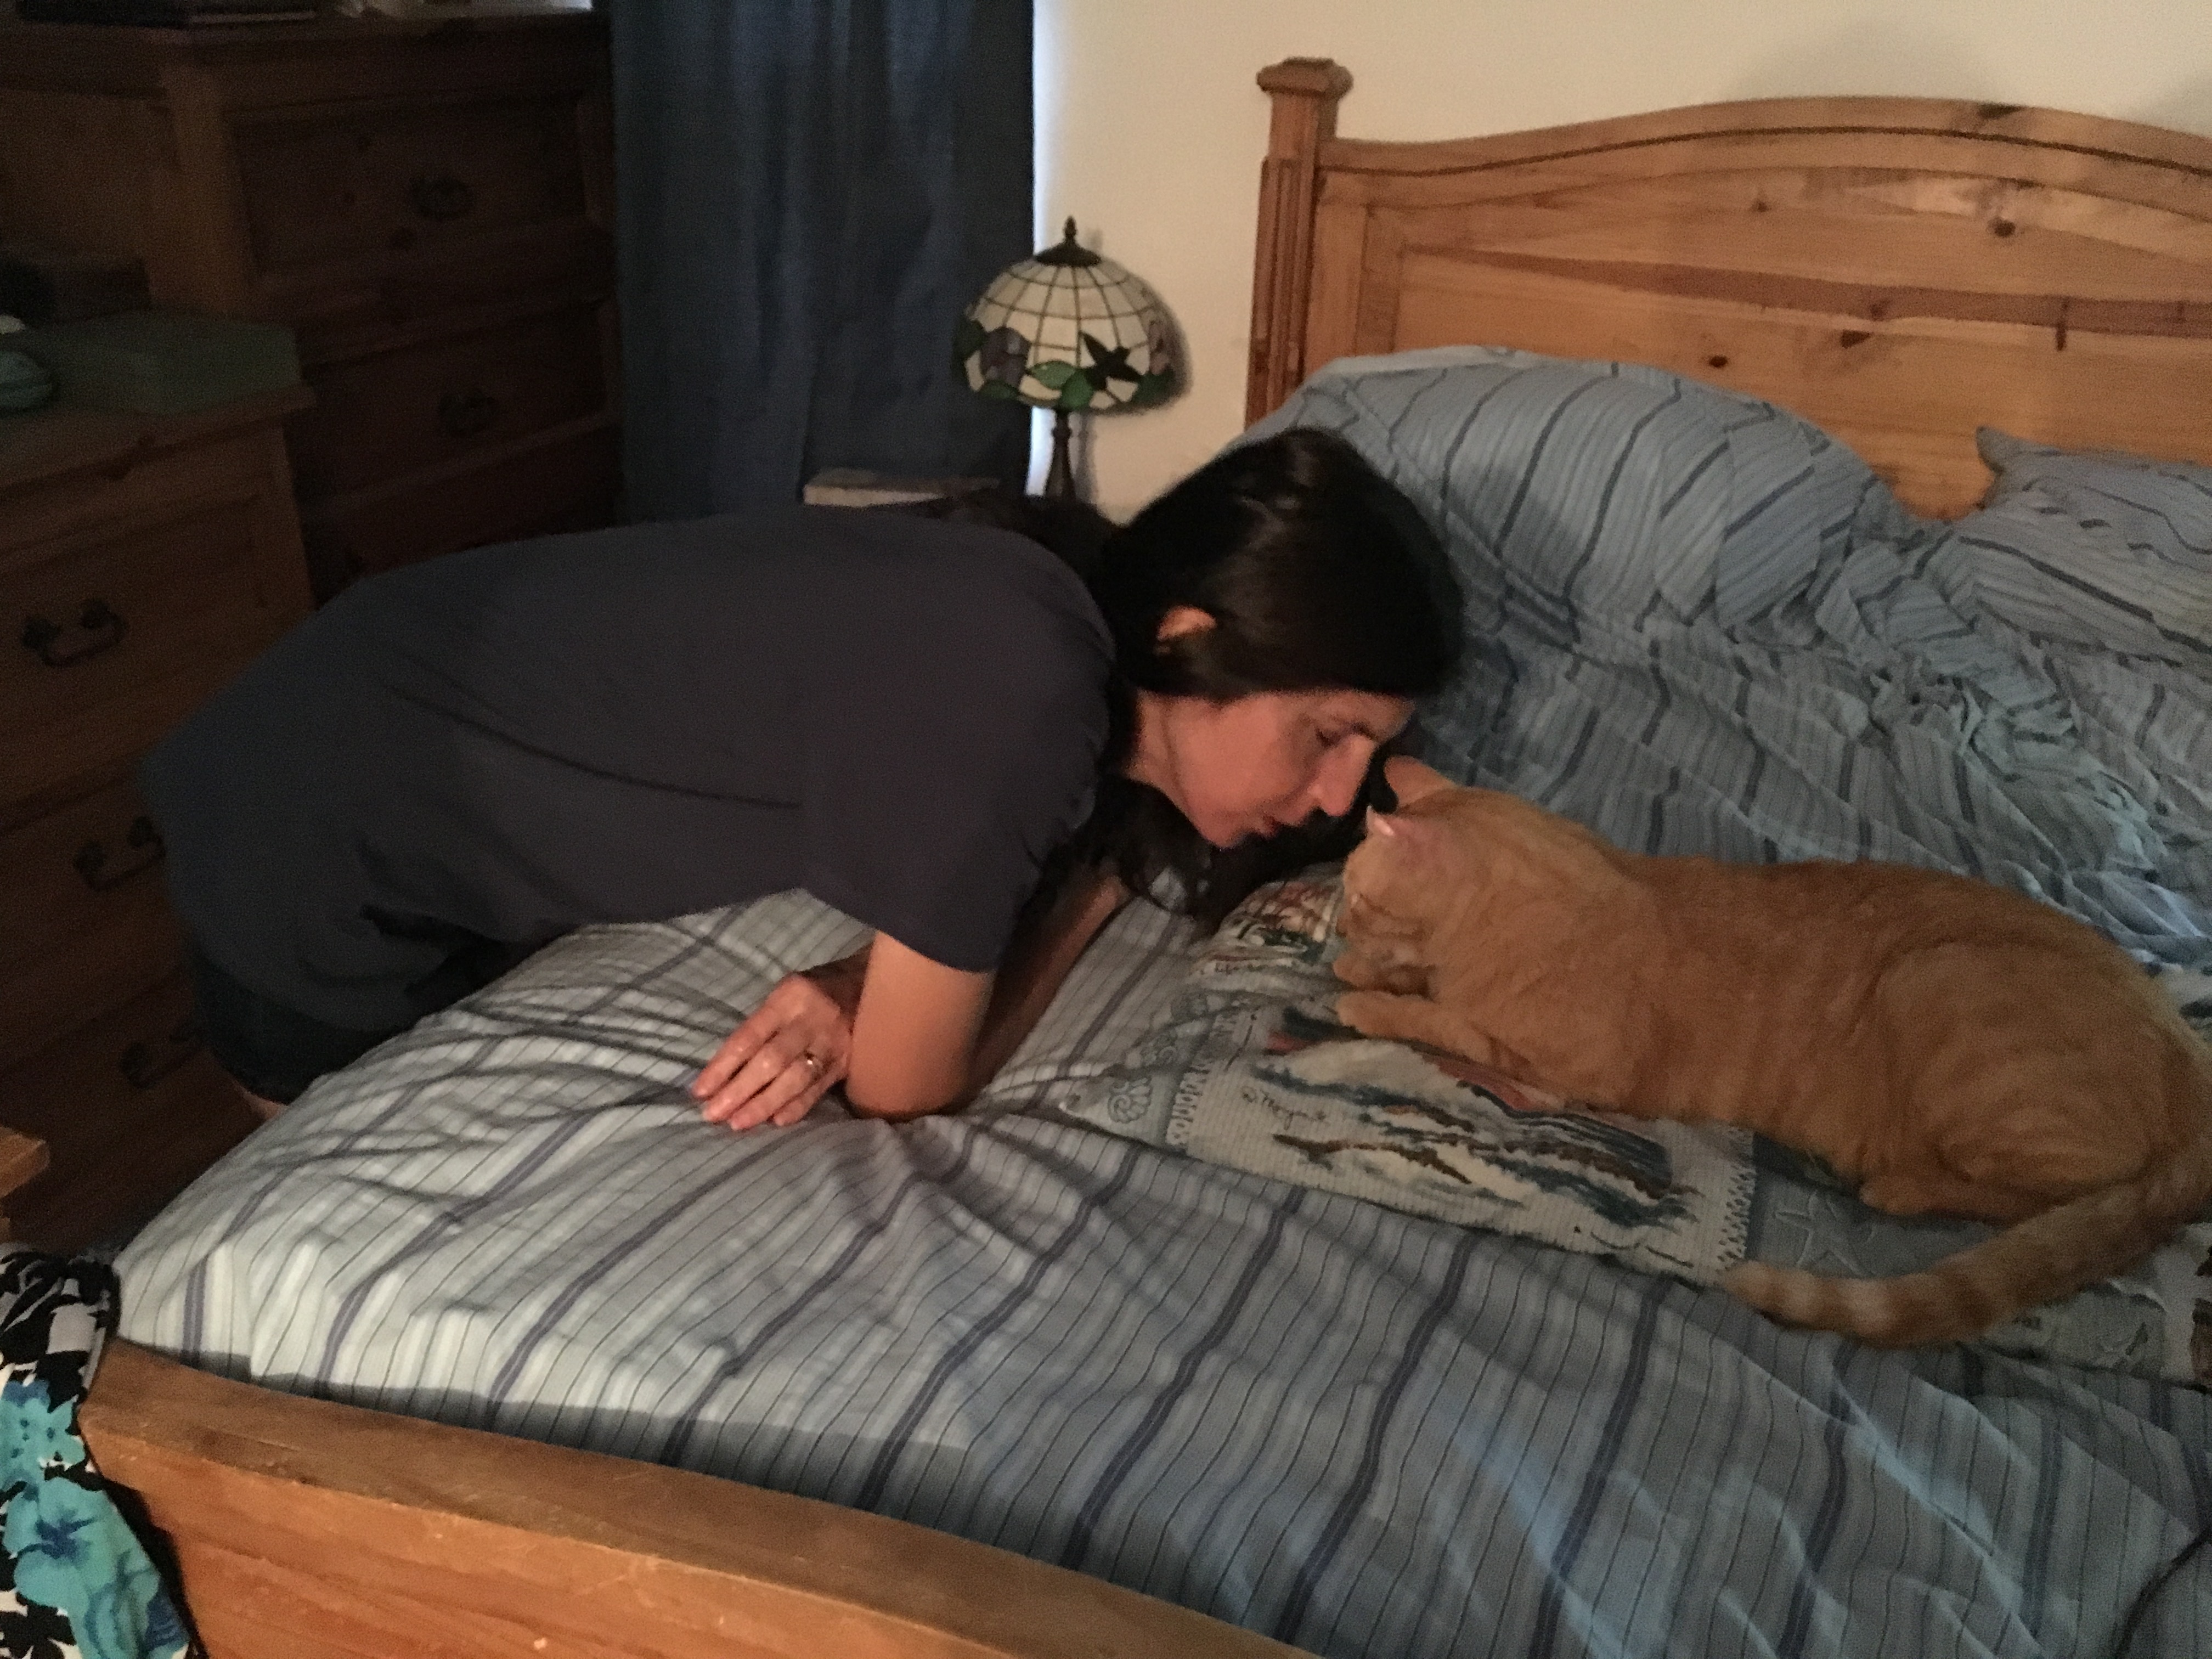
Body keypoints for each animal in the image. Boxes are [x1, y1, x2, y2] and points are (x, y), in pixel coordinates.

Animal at [1333, 756, 2212, 1348]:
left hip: (1940, 986)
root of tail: (2185, 1043)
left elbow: (1446, 1022)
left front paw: (1368, 991)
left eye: (1356, 894)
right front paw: (1374, 970)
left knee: (2051, 1196)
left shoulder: (1559, 1076)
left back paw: (1904, 1184)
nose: (1338, 923)